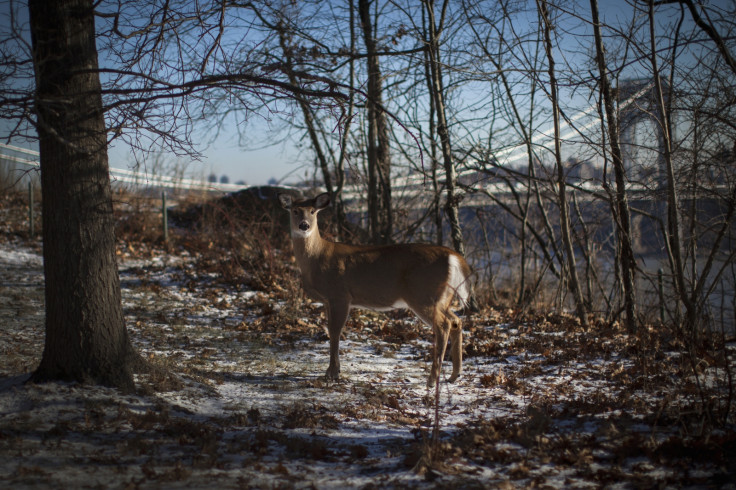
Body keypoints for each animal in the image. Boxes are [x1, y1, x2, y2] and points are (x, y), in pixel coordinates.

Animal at [276, 191, 472, 386]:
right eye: (295, 210)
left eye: (312, 211)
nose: (304, 225)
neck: (317, 258)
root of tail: (454, 257)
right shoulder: (327, 300)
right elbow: (331, 329)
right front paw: (332, 371)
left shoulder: (339, 294)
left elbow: (335, 331)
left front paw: (332, 373)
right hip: (442, 297)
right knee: (456, 321)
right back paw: (454, 375)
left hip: (423, 294)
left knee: (443, 325)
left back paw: (432, 380)